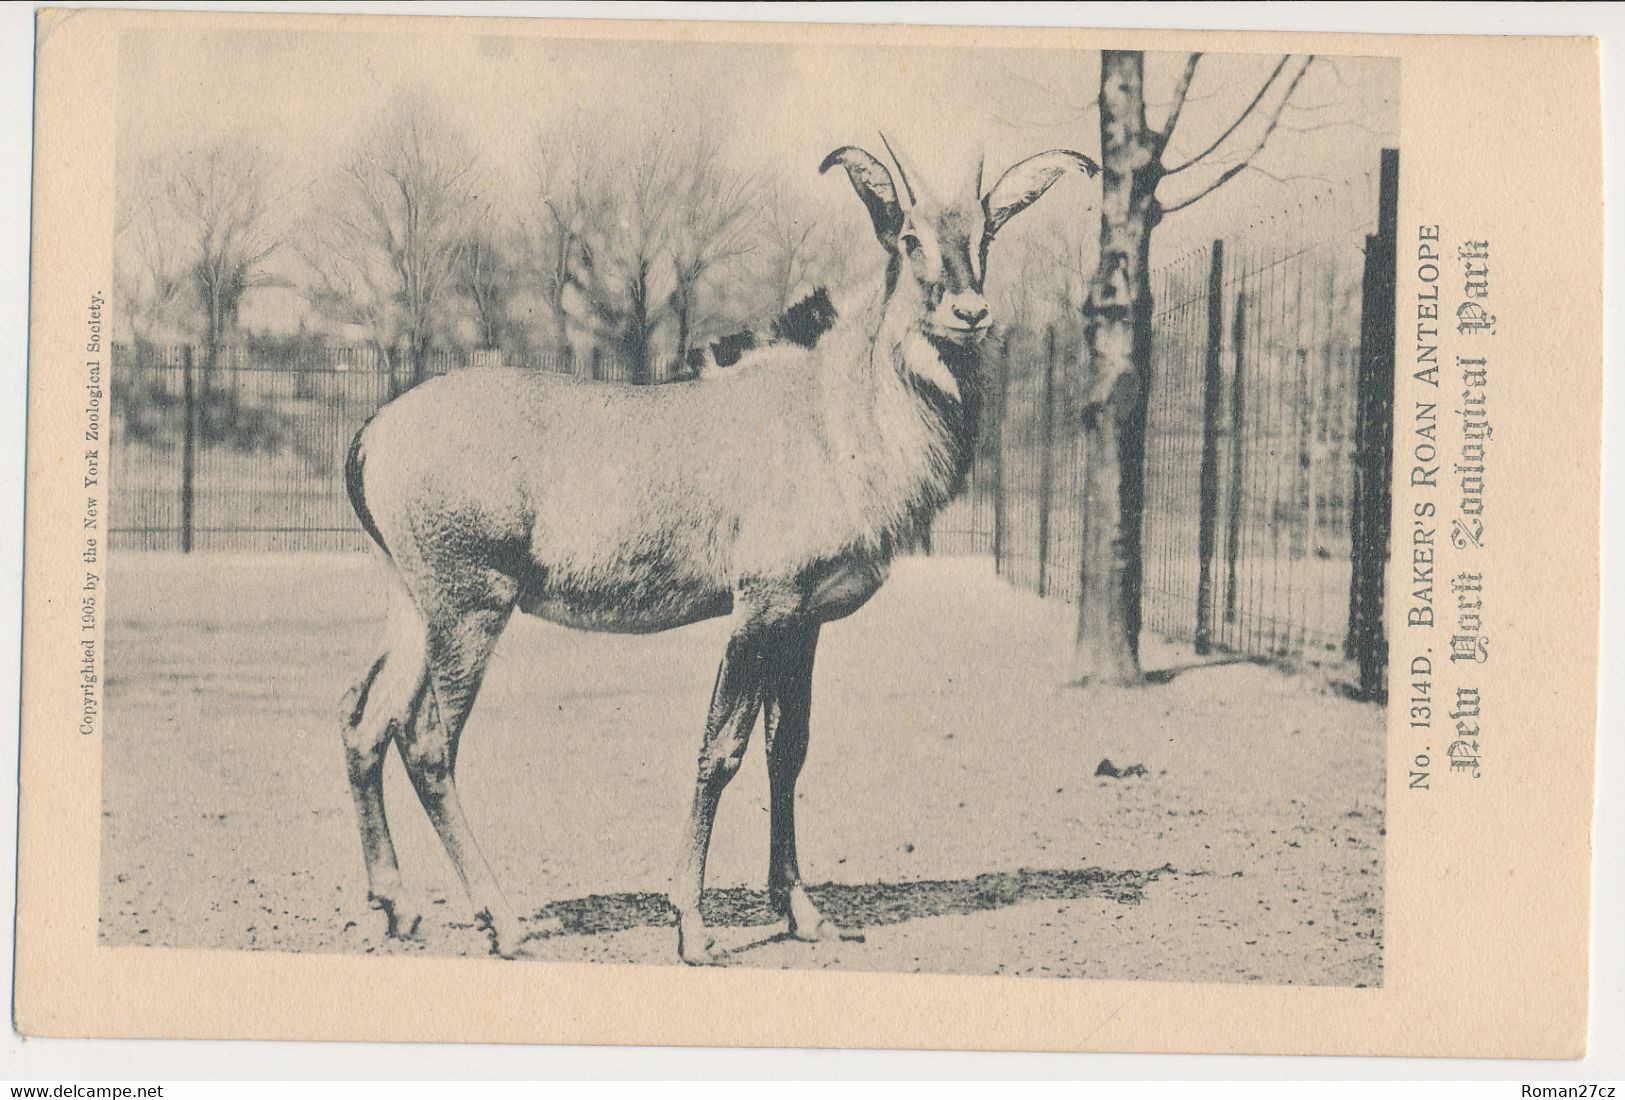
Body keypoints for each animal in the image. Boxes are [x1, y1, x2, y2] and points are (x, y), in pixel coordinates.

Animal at [347, 139, 1098, 961]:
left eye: (986, 235)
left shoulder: (802, 620)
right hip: (470, 607)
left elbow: (786, 750)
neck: (832, 411)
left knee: (365, 722)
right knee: (426, 741)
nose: (969, 313)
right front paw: (692, 923)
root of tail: (374, 433)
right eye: (907, 237)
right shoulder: (758, 605)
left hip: (412, 609)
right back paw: (504, 920)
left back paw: (398, 905)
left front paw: (802, 913)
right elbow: (721, 750)